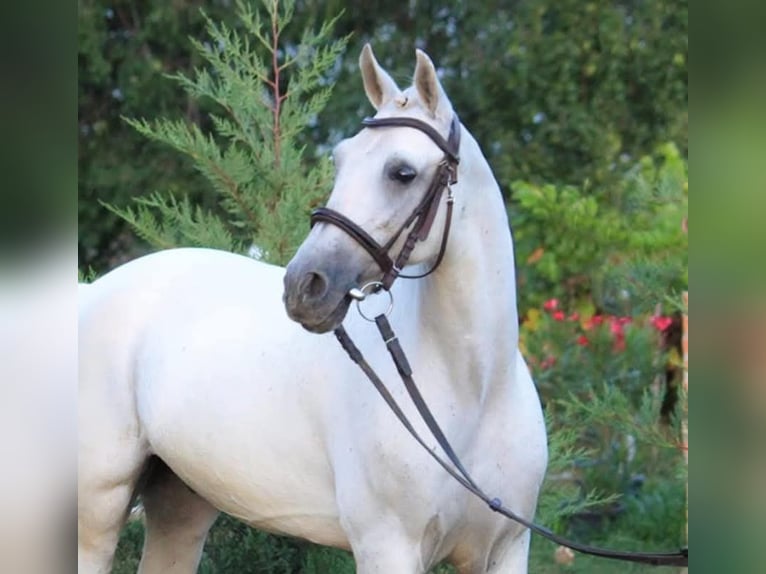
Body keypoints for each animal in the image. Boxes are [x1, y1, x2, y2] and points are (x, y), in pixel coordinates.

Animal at [78, 45, 548, 573]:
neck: (476, 389)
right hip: (98, 505)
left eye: (402, 172)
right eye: (340, 161)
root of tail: (91, 292)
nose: (304, 286)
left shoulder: (505, 549)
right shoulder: (388, 546)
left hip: (180, 503)